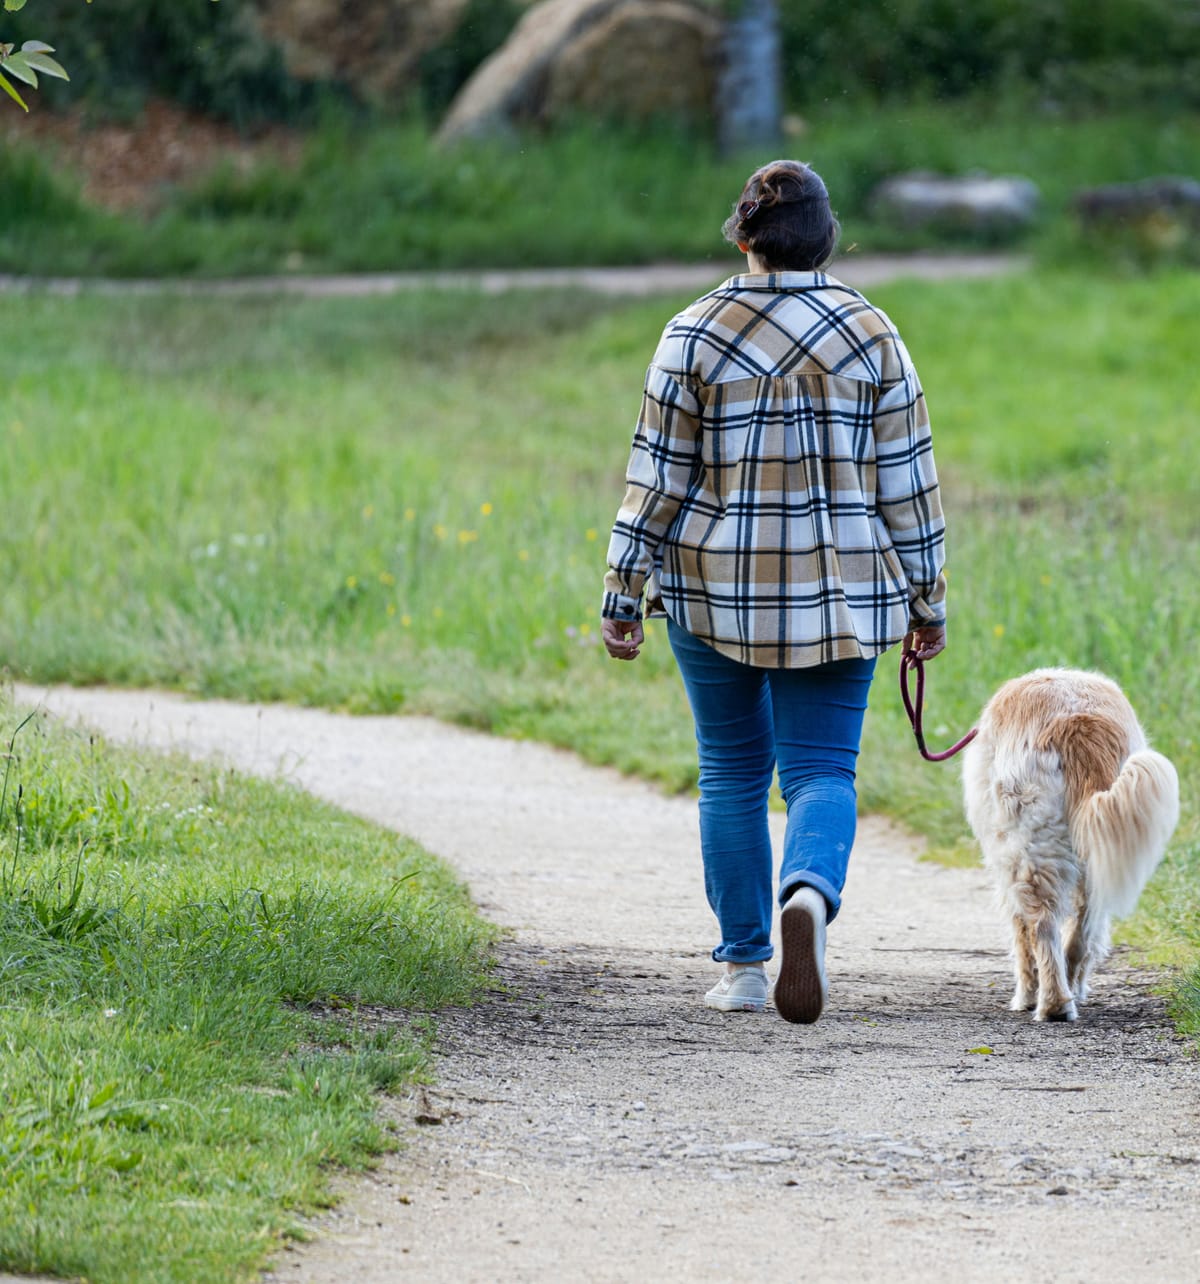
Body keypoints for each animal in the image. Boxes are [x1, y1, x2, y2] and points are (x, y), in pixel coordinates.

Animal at [960, 672, 1175, 1022]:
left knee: (1042, 928)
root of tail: (1077, 723)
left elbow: (1021, 936)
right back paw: (1070, 993)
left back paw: (1051, 1004)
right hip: (1093, 854)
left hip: (1030, 849)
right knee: (1080, 934)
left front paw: (1025, 995)